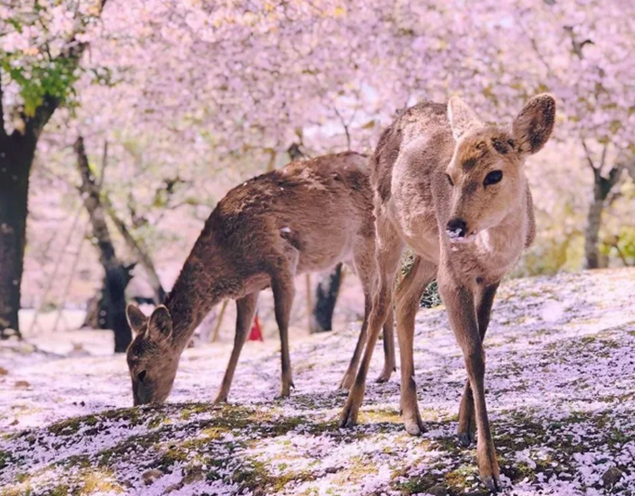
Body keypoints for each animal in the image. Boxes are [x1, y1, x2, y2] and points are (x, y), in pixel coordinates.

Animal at [123, 151, 398, 406]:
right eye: (128, 366)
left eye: (142, 372)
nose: (141, 405)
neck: (229, 259)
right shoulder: (249, 288)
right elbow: (240, 334)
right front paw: (219, 395)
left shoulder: (283, 258)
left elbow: (281, 319)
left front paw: (285, 386)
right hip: (354, 254)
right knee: (386, 292)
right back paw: (386, 370)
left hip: (365, 240)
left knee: (371, 301)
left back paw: (348, 378)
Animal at [338, 94, 556, 492]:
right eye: (450, 176)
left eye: (494, 174)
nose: (455, 225)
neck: (490, 251)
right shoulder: (453, 277)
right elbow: (474, 354)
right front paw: (489, 469)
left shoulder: (491, 278)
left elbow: (478, 346)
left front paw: (464, 427)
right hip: (386, 225)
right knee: (379, 302)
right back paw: (349, 411)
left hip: (429, 252)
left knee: (404, 297)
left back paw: (412, 417)